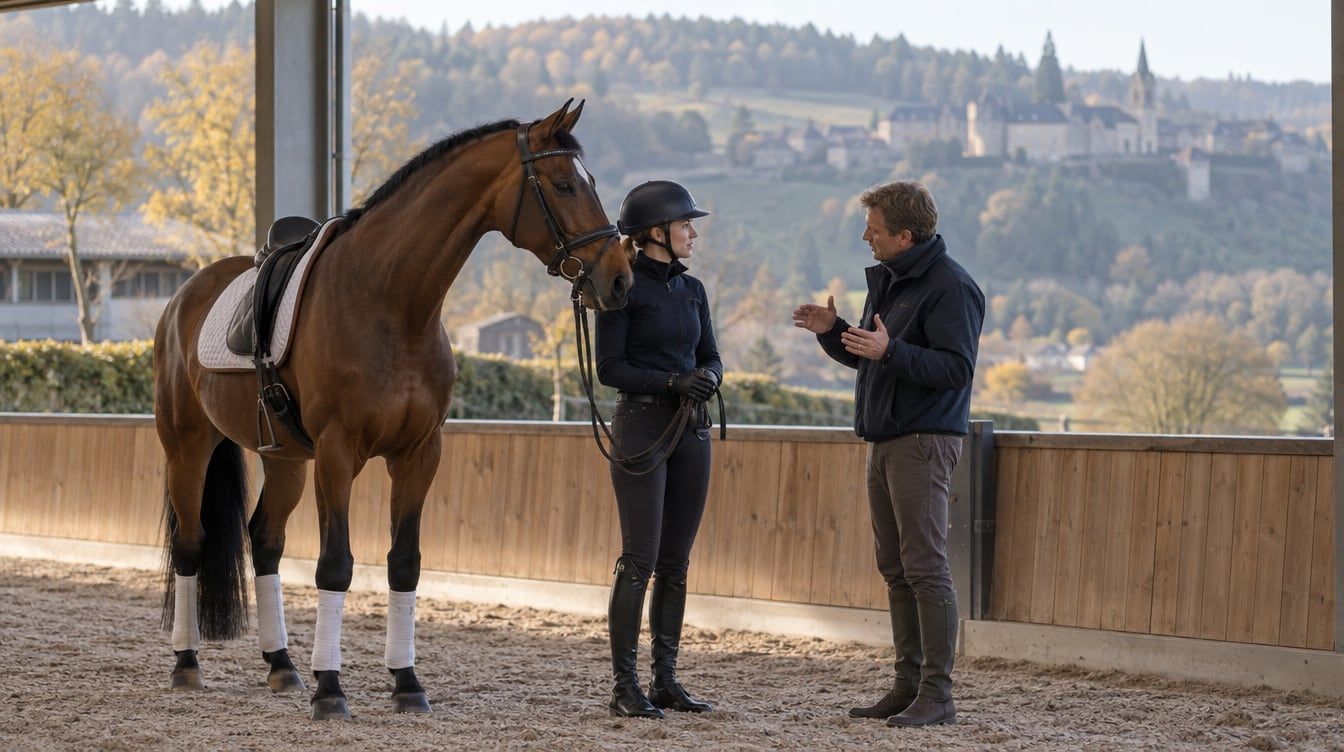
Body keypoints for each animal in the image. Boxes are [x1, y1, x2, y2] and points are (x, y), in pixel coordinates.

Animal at [153, 100, 631, 720]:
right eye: (565, 184)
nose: (619, 279)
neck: (390, 301)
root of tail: (186, 294)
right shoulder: (338, 454)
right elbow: (336, 564)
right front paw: (331, 690)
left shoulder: (419, 454)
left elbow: (405, 562)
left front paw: (406, 683)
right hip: (188, 447)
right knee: (191, 543)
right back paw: (187, 664)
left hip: (286, 461)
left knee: (266, 541)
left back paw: (282, 666)